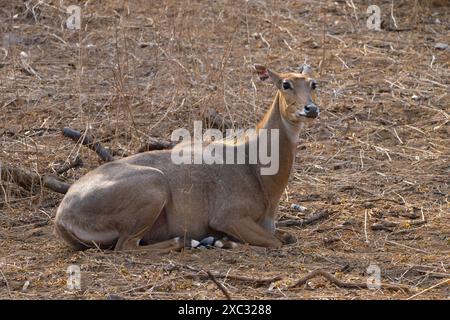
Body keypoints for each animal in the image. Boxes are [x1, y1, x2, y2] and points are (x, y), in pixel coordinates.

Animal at [53, 63, 320, 251]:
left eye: (313, 83)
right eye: (285, 84)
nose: (311, 109)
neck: (255, 167)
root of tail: (62, 218)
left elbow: (288, 236)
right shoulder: (227, 216)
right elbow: (275, 242)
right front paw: (223, 241)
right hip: (154, 186)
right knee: (126, 246)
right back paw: (191, 242)